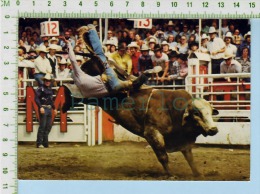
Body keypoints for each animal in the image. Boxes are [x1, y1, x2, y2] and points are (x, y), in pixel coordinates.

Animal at [62, 87, 218, 177]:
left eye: (211, 112)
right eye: (197, 113)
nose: (214, 129)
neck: (173, 111)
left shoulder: (183, 140)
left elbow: (190, 158)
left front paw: (198, 174)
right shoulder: (152, 134)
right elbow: (163, 156)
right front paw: (170, 175)